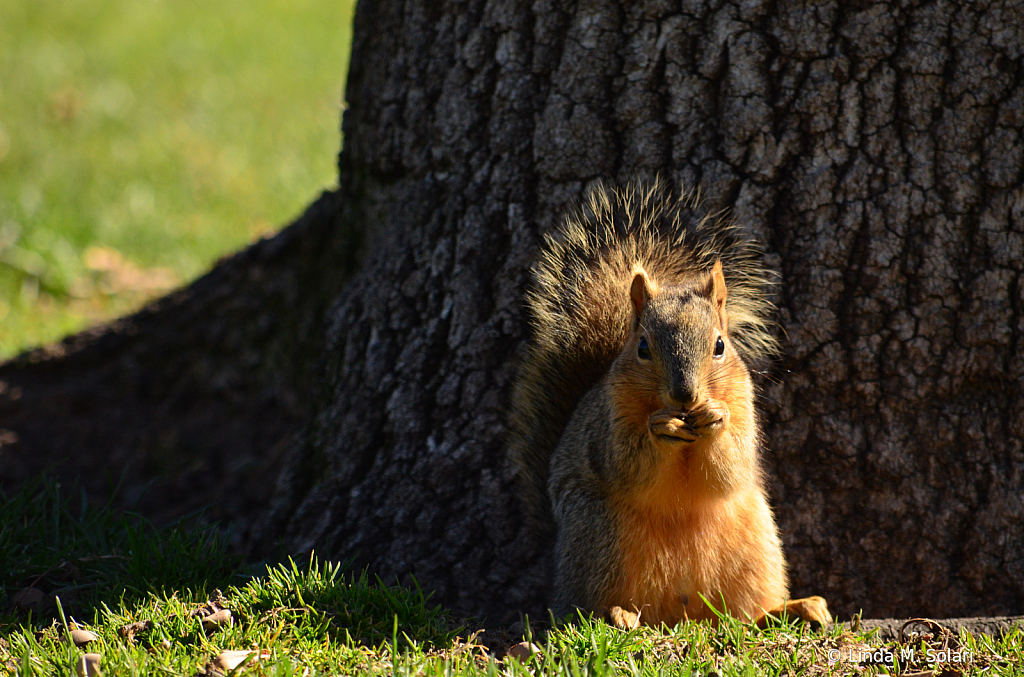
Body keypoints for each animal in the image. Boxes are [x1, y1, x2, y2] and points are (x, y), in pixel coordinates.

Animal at [507, 181, 827, 626]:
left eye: (720, 345)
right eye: (642, 348)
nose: (685, 396)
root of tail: (682, 614)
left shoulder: (745, 406)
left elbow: (732, 463)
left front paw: (715, 420)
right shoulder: (606, 424)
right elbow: (625, 462)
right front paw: (662, 429)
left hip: (758, 543)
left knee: (747, 612)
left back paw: (794, 608)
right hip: (598, 535)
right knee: (579, 608)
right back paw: (616, 615)